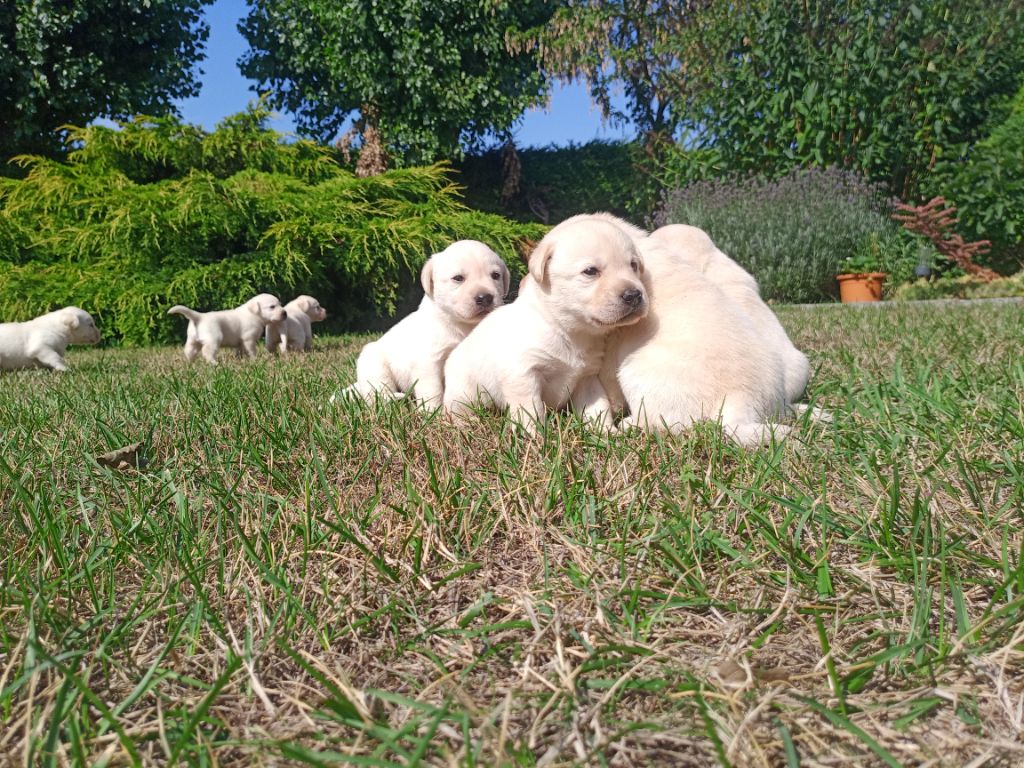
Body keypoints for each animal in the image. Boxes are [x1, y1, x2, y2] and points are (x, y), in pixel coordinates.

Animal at [342, 239, 512, 409]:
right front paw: (432, 411)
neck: (462, 325)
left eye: (495, 276)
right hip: (373, 363)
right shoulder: (429, 362)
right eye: (458, 278)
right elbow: (432, 390)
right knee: (378, 391)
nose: (485, 297)